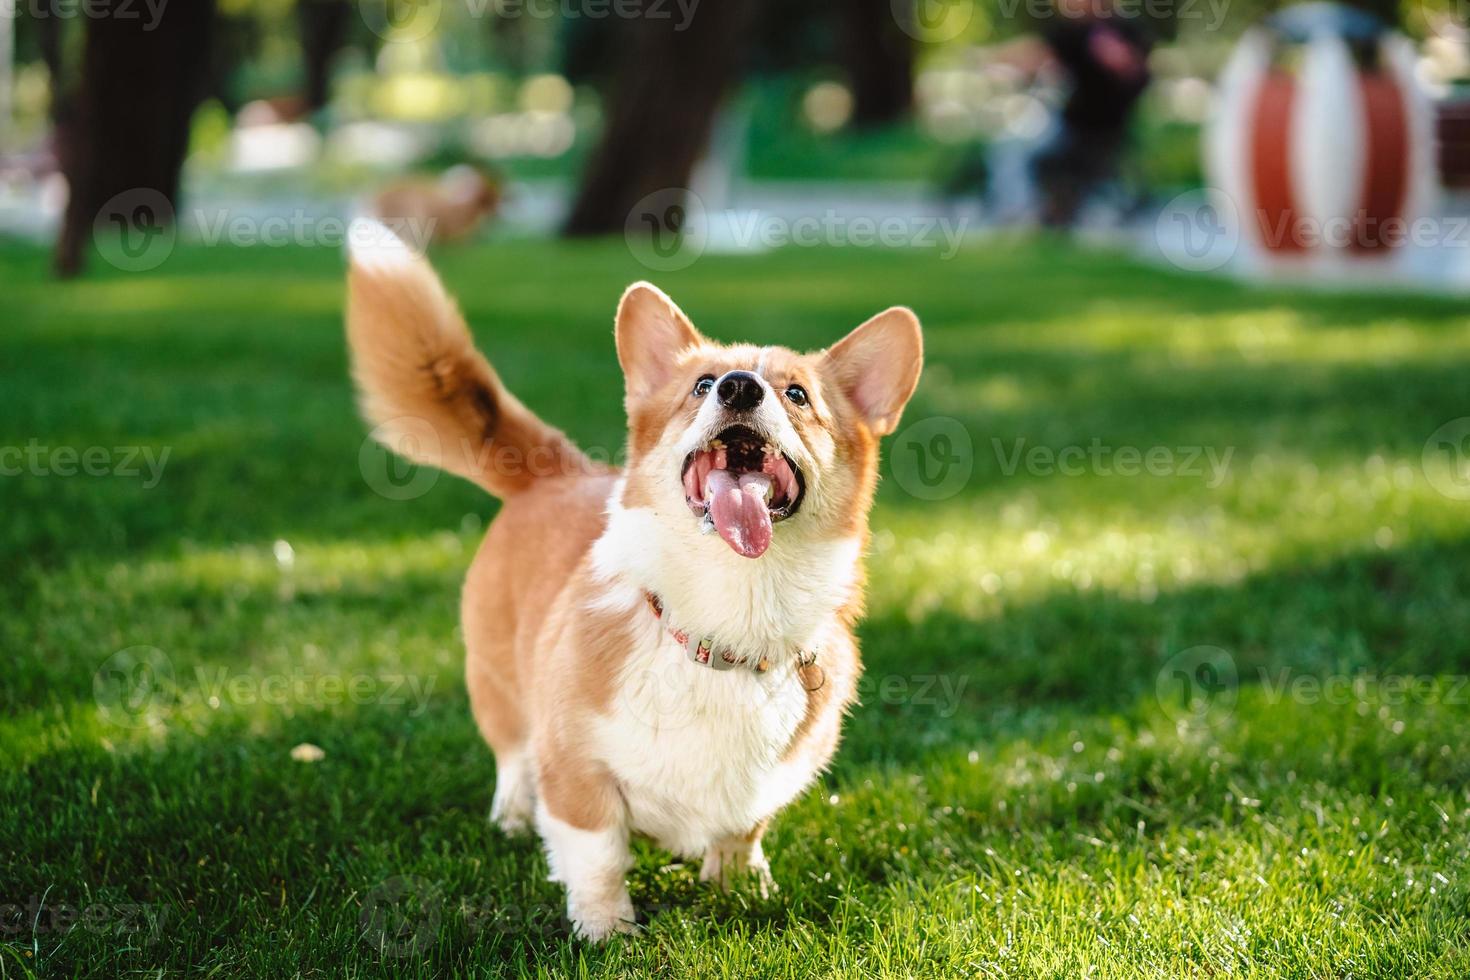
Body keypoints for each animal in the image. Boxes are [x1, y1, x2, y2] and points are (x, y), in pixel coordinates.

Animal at [343, 224, 917, 940]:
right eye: (702, 385)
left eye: (797, 395)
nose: (739, 388)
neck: (731, 615)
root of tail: (554, 472)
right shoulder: (577, 773)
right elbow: (598, 856)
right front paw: (606, 930)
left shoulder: (767, 786)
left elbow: (742, 832)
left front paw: (743, 886)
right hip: (497, 681)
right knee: (511, 757)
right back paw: (511, 817)